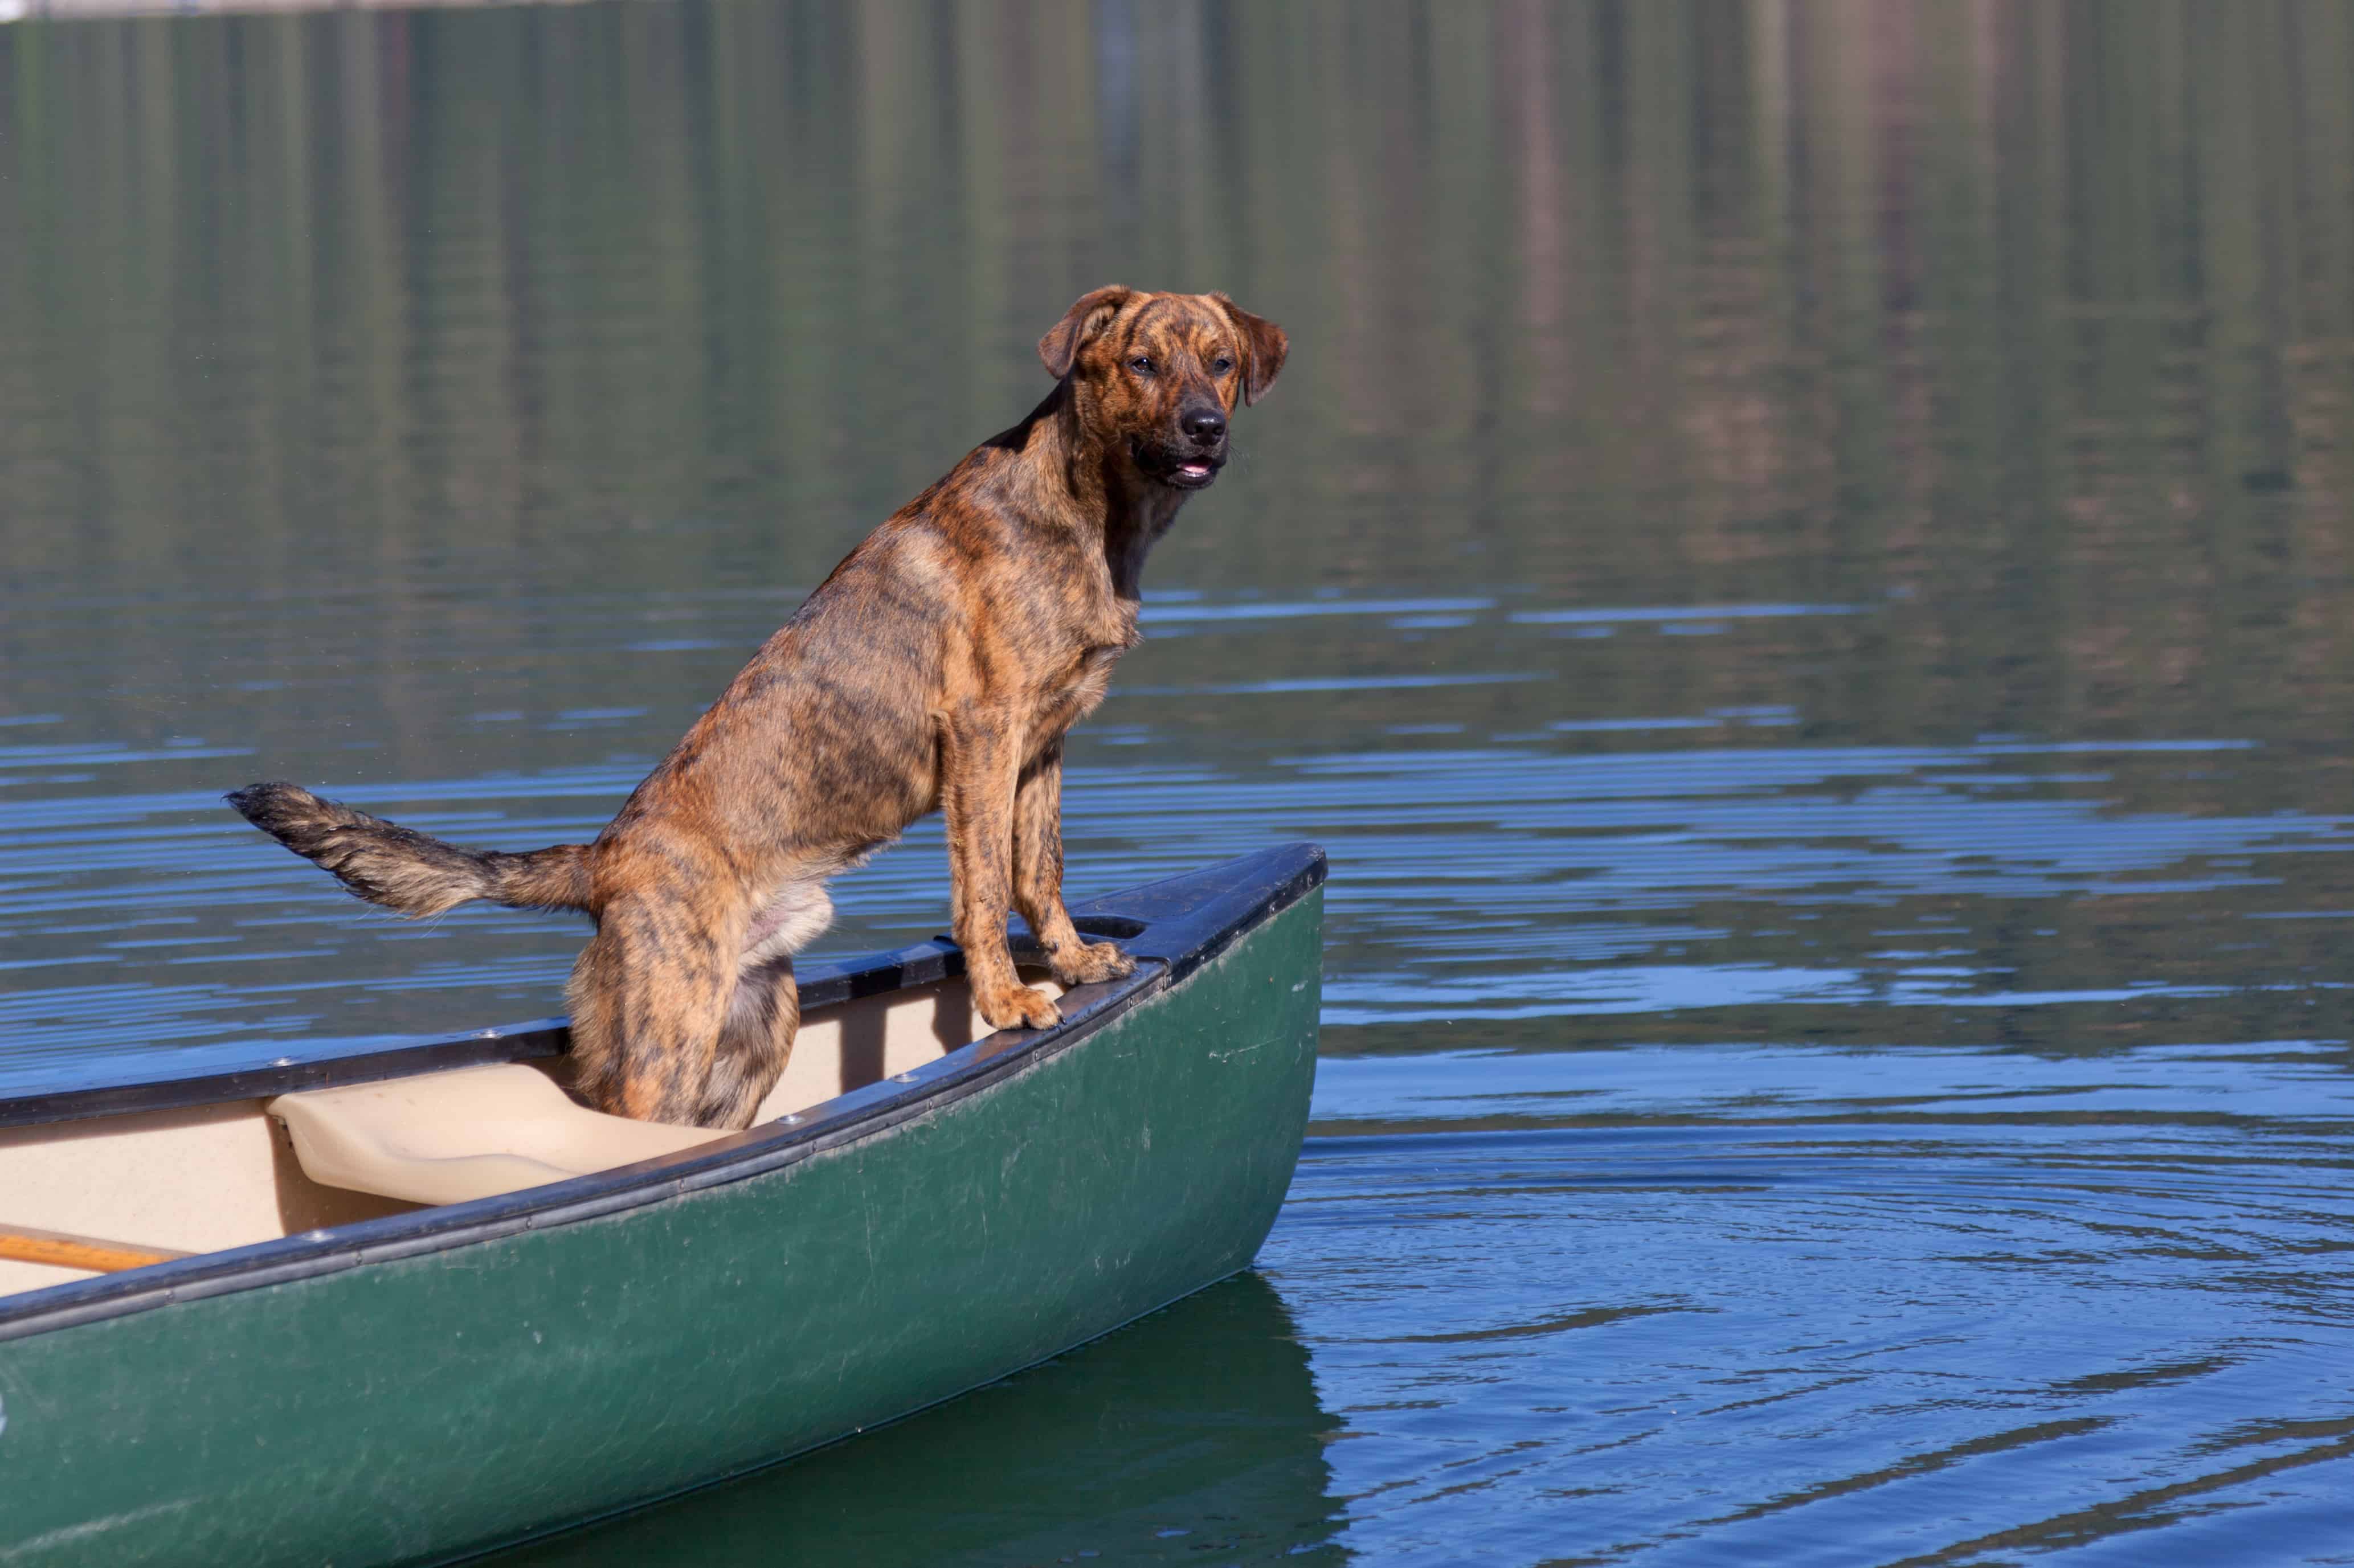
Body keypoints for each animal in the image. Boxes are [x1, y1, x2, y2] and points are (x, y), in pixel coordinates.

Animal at [229, 284, 1290, 1125]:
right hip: (671, 1038)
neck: (1088, 510)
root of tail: (602, 861)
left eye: (1220, 363)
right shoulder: (984, 734)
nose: (1206, 427)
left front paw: (1070, 962)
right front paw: (1009, 1000)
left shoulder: (1044, 744)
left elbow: (1040, 869)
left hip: (754, 1027)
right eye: (1141, 364)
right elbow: (983, 890)